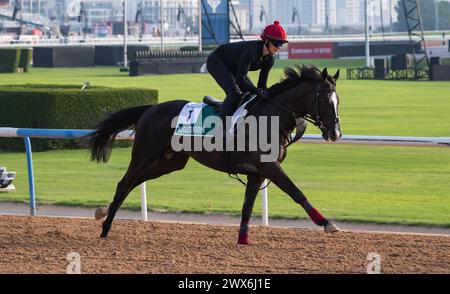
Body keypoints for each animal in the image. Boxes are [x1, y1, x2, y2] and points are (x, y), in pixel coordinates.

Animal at [89, 65, 342, 245]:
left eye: (338, 101)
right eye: (325, 100)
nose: (336, 133)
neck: (270, 117)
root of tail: (150, 108)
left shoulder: (257, 173)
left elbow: (247, 206)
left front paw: (243, 239)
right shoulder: (269, 166)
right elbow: (296, 192)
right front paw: (327, 223)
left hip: (170, 162)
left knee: (133, 183)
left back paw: (103, 211)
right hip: (144, 155)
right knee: (124, 183)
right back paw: (105, 228)